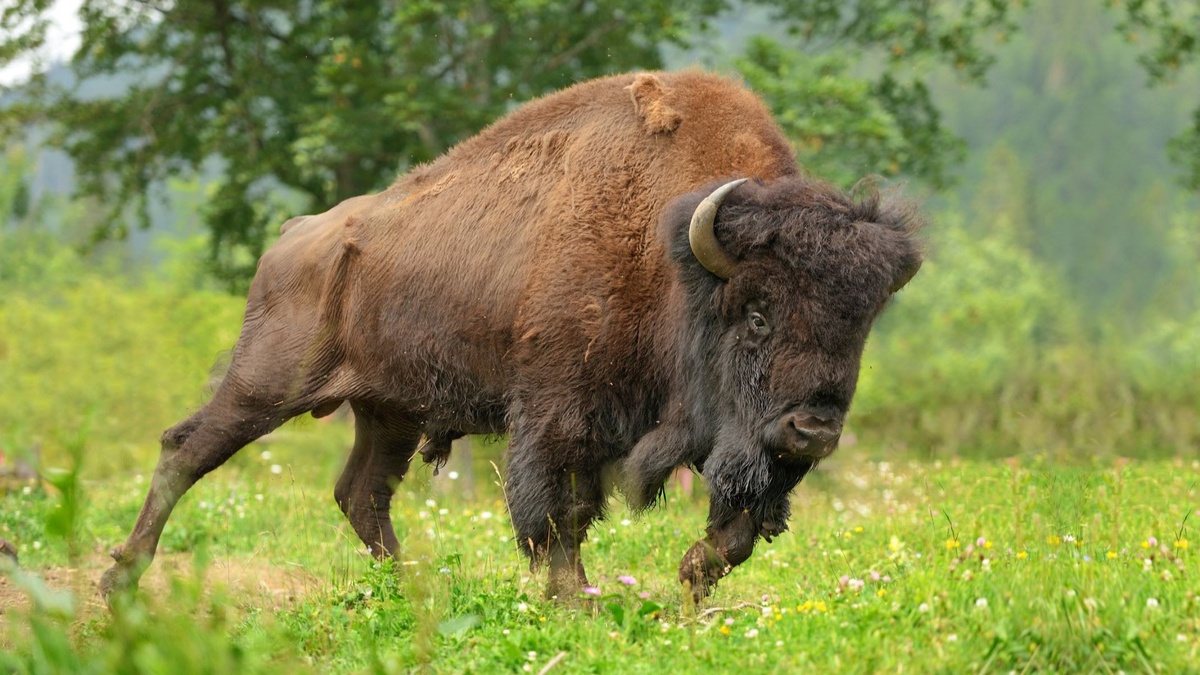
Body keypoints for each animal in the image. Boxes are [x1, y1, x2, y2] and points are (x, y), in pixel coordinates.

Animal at [101, 71, 921, 604]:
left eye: (859, 324)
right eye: (757, 313)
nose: (814, 429)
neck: (673, 256)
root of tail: (298, 233)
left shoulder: (740, 446)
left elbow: (735, 529)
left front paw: (686, 583)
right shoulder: (558, 413)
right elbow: (557, 513)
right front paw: (576, 600)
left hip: (388, 409)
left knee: (361, 493)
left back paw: (417, 589)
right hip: (267, 381)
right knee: (187, 450)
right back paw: (119, 577)